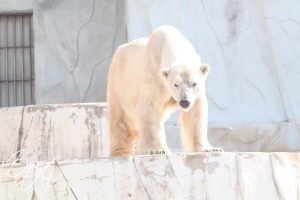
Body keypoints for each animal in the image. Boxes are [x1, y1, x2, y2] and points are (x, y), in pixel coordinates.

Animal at [106, 25, 221, 156]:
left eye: (194, 83)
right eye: (175, 84)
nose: (184, 102)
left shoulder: (196, 92)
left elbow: (196, 111)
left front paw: (210, 148)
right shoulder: (154, 76)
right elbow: (150, 108)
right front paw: (155, 149)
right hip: (119, 83)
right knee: (120, 118)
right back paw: (120, 151)